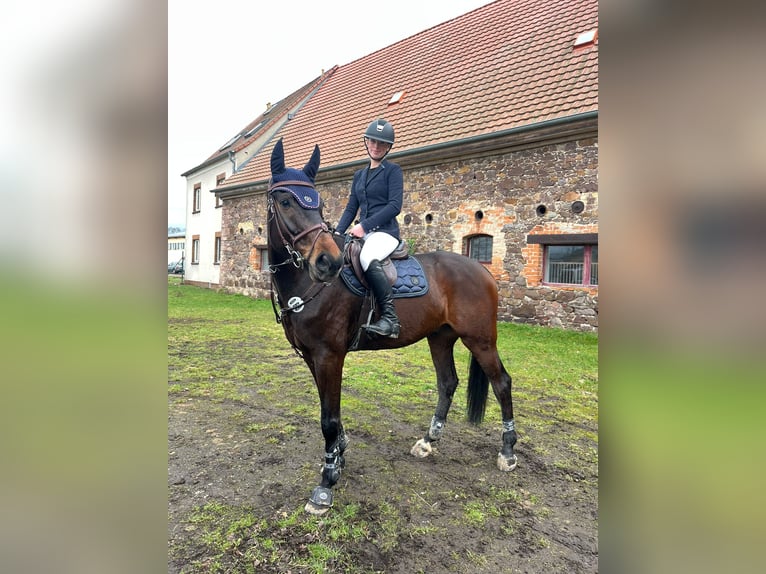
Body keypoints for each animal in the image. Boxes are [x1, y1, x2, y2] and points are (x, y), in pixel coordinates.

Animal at [266, 139, 517, 515]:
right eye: (285, 202)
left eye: (319, 203)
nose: (328, 263)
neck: (305, 283)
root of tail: (481, 269)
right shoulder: (312, 357)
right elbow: (331, 411)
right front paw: (339, 458)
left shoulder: (329, 355)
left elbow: (328, 419)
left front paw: (326, 484)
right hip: (440, 338)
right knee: (448, 383)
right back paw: (428, 441)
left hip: (480, 339)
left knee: (501, 383)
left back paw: (508, 451)